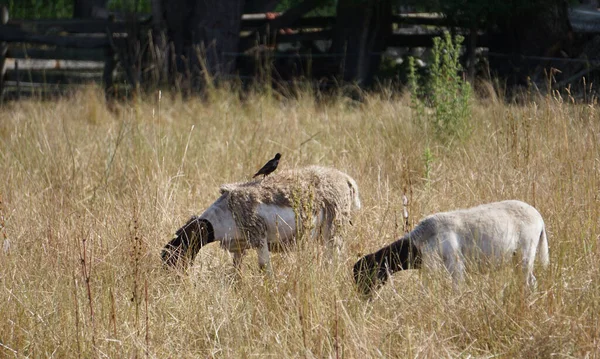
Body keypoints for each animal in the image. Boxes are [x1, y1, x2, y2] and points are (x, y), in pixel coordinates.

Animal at [162, 166, 360, 272]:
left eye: (173, 256)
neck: (222, 214)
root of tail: (346, 179)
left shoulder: (259, 239)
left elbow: (265, 268)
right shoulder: (239, 248)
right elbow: (236, 273)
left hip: (333, 229)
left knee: (333, 260)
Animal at [354, 200, 552, 296]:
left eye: (365, 275)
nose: (362, 299)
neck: (421, 240)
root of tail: (540, 218)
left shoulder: (454, 264)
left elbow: (456, 290)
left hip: (526, 252)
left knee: (529, 282)